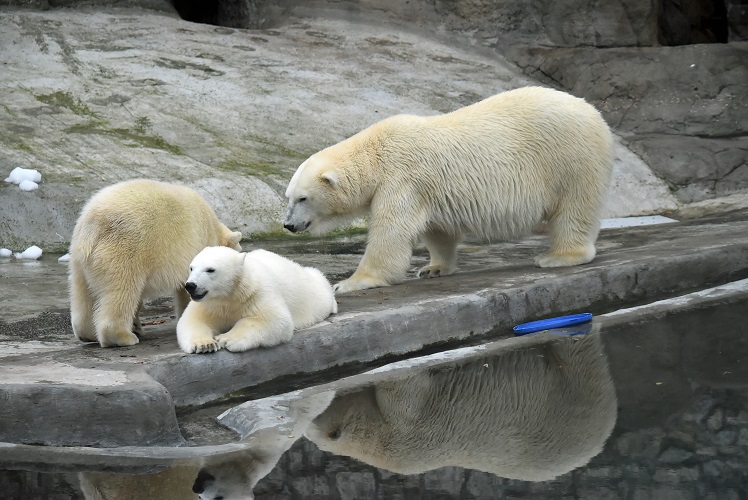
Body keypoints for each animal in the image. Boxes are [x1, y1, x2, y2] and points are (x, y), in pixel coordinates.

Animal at [69, 180, 241, 348]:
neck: (213, 228)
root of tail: (93, 225)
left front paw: (137, 326)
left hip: (80, 257)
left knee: (83, 294)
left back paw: (87, 334)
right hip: (126, 249)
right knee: (122, 290)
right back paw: (123, 337)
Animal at [177, 248, 338, 354]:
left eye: (210, 269)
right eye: (191, 268)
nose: (190, 285)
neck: (230, 295)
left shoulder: (257, 293)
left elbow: (275, 319)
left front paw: (225, 339)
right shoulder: (210, 305)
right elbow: (193, 320)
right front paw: (205, 345)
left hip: (313, 291)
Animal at [284, 86, 612, 292]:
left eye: (303, 198)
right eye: (288, 197)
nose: (288, 225)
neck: (376, 152)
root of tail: (594, 113)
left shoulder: (402, 178)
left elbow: (391, 232)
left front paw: (351, 282)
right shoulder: (427, 187)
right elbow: (437, 230)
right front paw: (434, 268)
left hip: (569, 158)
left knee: (574, 208)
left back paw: (559, 256)